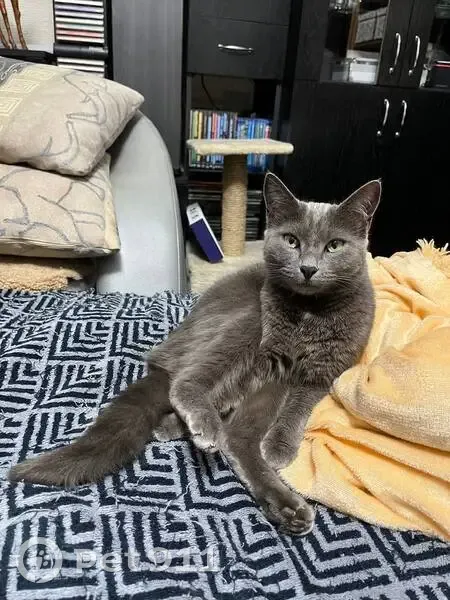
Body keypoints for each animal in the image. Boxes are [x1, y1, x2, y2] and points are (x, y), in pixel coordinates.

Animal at [9, 173, 381, 535]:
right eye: (291, 241)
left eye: (334, 245)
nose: (307, 268)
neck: (310, 312)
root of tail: (167, 351)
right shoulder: (274, 346)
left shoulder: (324, 371)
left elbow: (299, 407)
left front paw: (279, 445)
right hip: (251, 324)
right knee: (189, 382)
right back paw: (201, 425)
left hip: (269, 381)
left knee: (236, 436)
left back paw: (281, 504)